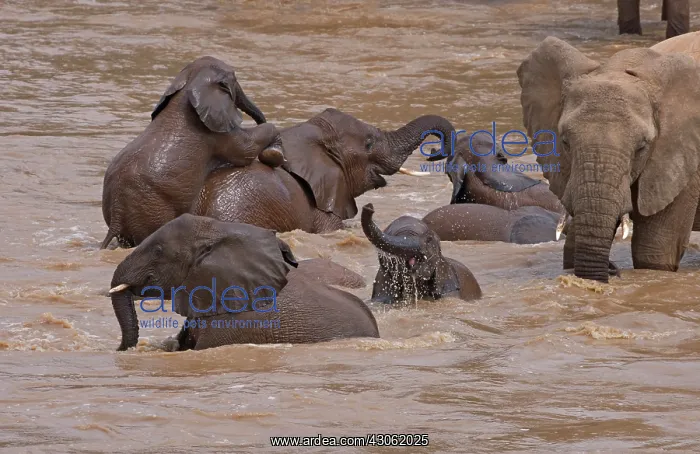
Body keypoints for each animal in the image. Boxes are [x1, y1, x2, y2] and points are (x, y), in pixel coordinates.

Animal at [101, 56, 285, 249]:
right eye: (234, 79)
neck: (190, 83)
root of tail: (116, 215)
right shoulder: (215, 135)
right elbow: (245, 150)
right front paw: (274, 154)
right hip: (151, 207)